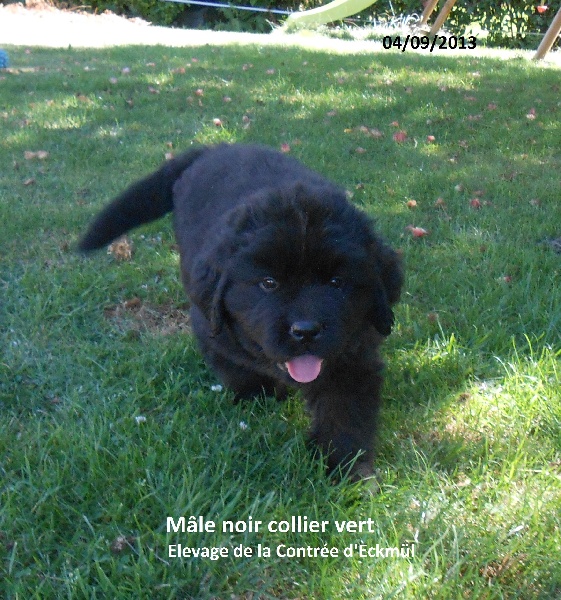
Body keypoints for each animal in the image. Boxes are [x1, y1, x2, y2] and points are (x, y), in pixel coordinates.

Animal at [79, 144, 403, 480]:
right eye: (268, 283)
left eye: (337, 282)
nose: (305, 330)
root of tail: (215, 147)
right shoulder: (210, 328)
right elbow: (238, 369)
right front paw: (260, 396)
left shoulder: (354, 355)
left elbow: (345, 412)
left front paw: (347, 469)